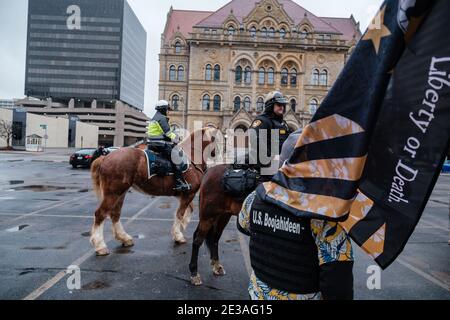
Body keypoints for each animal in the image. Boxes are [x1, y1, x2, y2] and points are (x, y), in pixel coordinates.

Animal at [89, 127, 217, 255]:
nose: (215, 154)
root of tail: (105, 157)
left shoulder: (183, 194)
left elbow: (188, 210)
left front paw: (182, 226)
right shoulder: (189, 194)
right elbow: (180, 213)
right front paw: (178, 235)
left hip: (120, 193)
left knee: (115, 214)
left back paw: (124, 238)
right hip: (113, 193)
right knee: (100, 214)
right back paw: (100, 246)